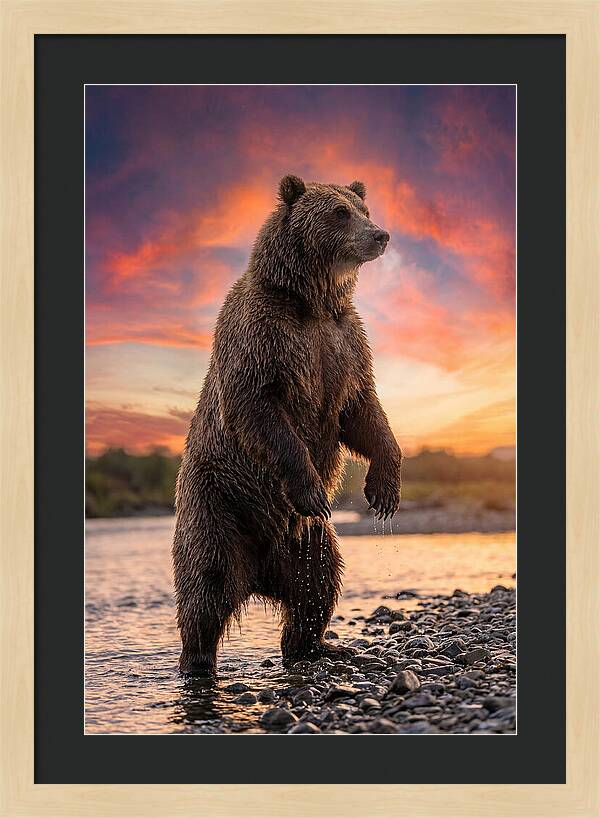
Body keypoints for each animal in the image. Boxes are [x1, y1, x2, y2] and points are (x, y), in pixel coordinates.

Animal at [172, 175, 402, 675]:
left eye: (364, 208)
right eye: (339, 212)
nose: (380, 235)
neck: (312, 301)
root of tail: (258, 573)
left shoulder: (344, 344)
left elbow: (363, 411)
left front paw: (384, 490)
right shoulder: (264, 336)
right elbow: (260, 409)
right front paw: (313, 488)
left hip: (307, 540)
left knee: (318, 582)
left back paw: (318, 644)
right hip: (217, 504)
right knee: (206, 585)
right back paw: (197, 662)